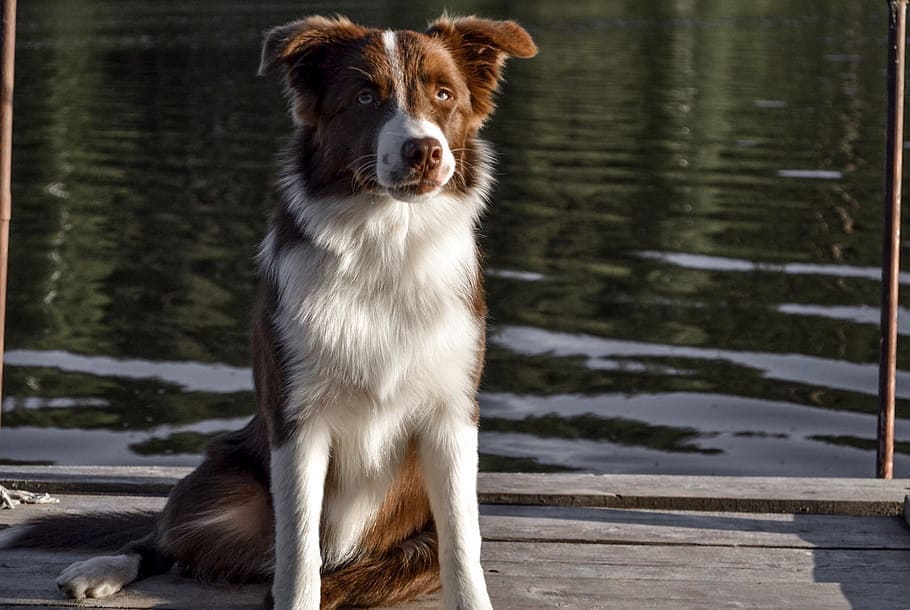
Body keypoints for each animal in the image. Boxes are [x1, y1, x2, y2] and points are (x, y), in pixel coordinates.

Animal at [0, 14, 536, 608]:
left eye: (444, 95)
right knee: (166, 537)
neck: (385, 242)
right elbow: (298, 552)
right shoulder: (296, 419)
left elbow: (463, 545)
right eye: (365, 97)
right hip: (223, 483)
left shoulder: (451, 417)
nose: (424, 150)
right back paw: (105, 566)